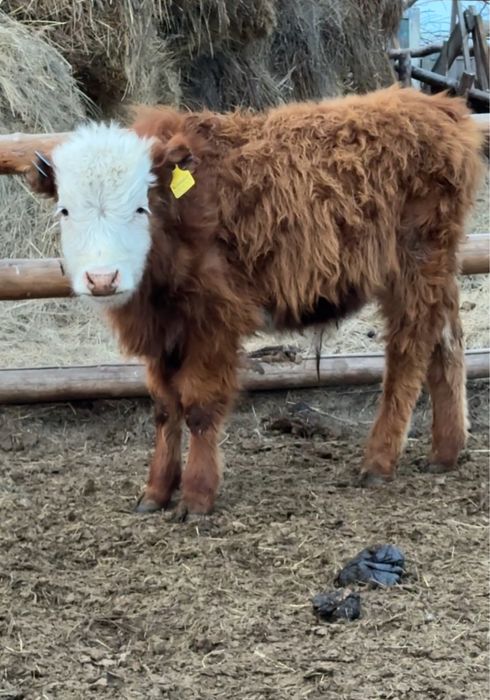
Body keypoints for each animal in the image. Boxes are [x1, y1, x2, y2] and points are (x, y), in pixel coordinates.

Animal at [26, 85, 484, 519]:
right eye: (65, 211)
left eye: (141, 207)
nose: (103, 278)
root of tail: (438, 108)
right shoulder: (163, 331)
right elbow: (164, 408)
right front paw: (156, 491)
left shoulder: (212, 322)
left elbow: (198, 406)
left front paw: (196, 496)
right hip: (439, 269)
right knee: (448, 341)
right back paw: (446, 452)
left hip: (415, 266)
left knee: (409, 353)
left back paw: (379, 461)